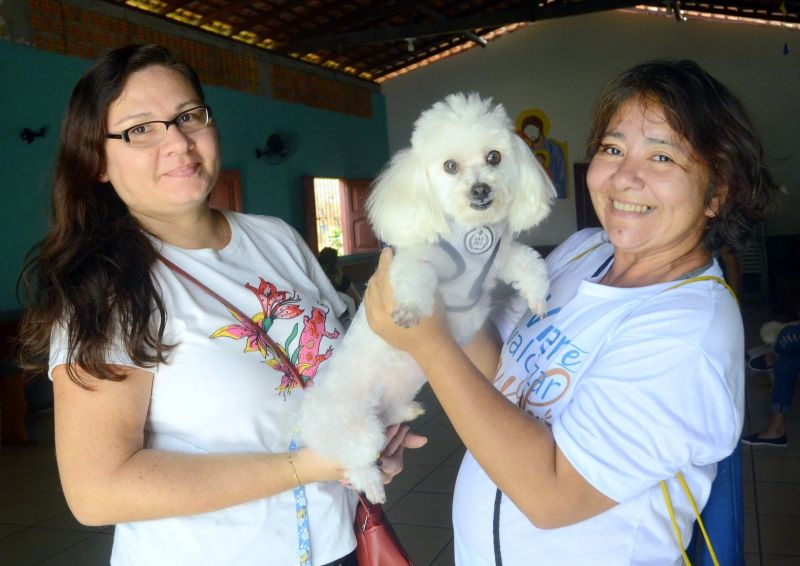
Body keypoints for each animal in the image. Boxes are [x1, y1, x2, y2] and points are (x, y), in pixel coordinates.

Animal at [300, 93, 556, 506]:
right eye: (450, 166)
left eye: (494, 157)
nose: (480, 190)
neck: (469, 234)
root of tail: (306, 421)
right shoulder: (415, 258)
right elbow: (416, 275)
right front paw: (409, 310)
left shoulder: (501, 257)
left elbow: (530, 263)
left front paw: (538, 300)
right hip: (357, 429)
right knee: (354, 464)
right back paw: (373, 486)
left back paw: (408, 408)